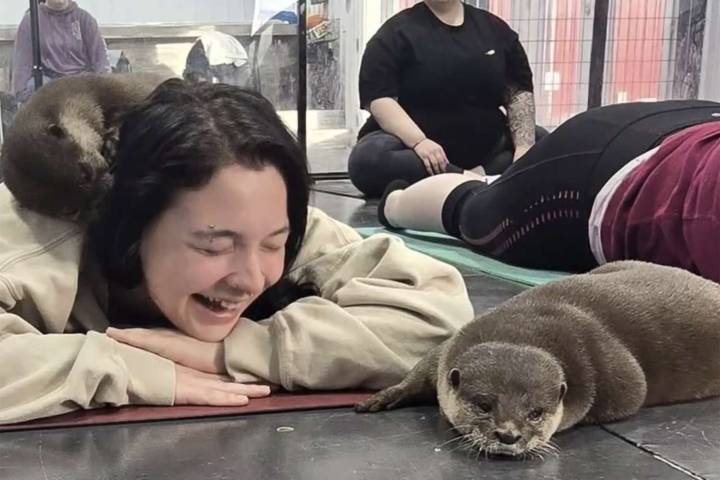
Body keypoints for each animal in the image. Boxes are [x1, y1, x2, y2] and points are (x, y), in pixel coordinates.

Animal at [356, 261, 720, 458]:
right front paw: (385, 396)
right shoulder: (448, 350)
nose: (508, 435)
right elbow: (422, 369)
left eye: (536, 413)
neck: (524, 327)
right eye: (484, 404)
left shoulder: (621, 380)